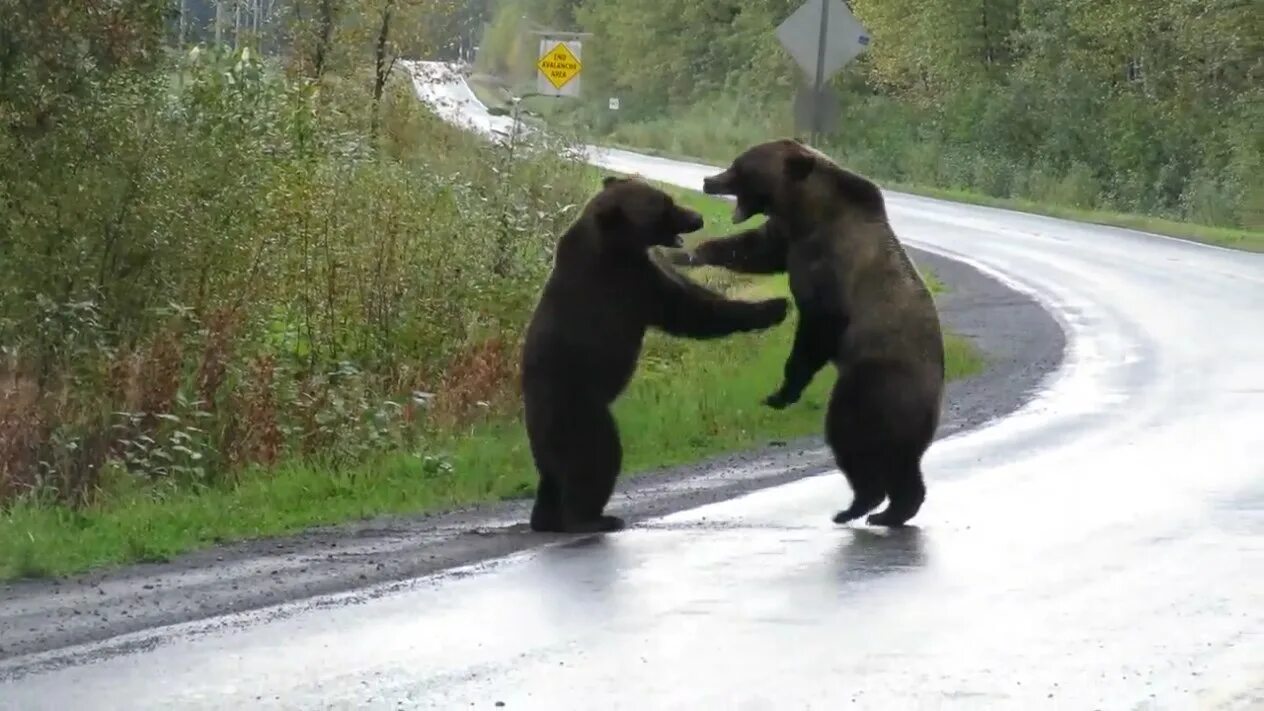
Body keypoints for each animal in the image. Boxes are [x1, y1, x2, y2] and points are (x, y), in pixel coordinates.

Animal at [518, 175, 783, 531]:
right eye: (664, 206)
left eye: (668, 198)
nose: (696, 217)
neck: (616, 243)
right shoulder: (626, 283)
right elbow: (690, 310)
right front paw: (774, 306)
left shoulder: (643, 266)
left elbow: (689, 294)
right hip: (579, 411)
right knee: (595, 458)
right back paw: (593, 519)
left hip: (550, 439)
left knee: (552, 477)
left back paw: (545, 519)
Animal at [687, 138, 945, 526]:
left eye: (739, 166)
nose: (708, 180)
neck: (809, 211)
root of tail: (935, 396)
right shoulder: (788, 237)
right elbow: (754, 249)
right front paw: (698, 250)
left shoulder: (831, 266)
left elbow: (817, 328)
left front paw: (781, 393)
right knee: (901, 460)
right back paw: (892, 509)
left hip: (876, 385)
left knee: (851, 437)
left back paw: (862, 506)